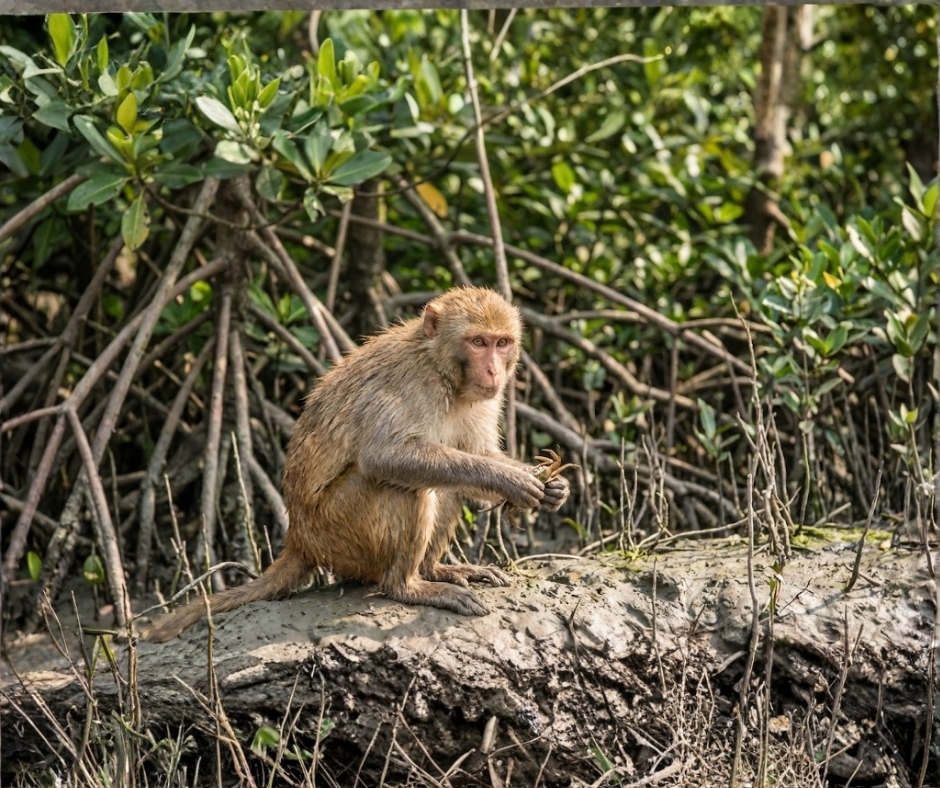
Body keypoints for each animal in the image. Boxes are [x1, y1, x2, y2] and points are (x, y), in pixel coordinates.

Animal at [143, 287, 569, 642]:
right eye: (478, 342)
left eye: (502, 343)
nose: (494, 370)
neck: (443, 369)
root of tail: (299, 536)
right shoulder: (415, 383)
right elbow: (385, 456)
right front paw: (510, 480)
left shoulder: (485, 397)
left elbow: (476, 451)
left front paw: (548, 486)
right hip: (338, 531)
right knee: (405, 487)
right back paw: (409, 586)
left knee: (441, 483)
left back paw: (436, 570)